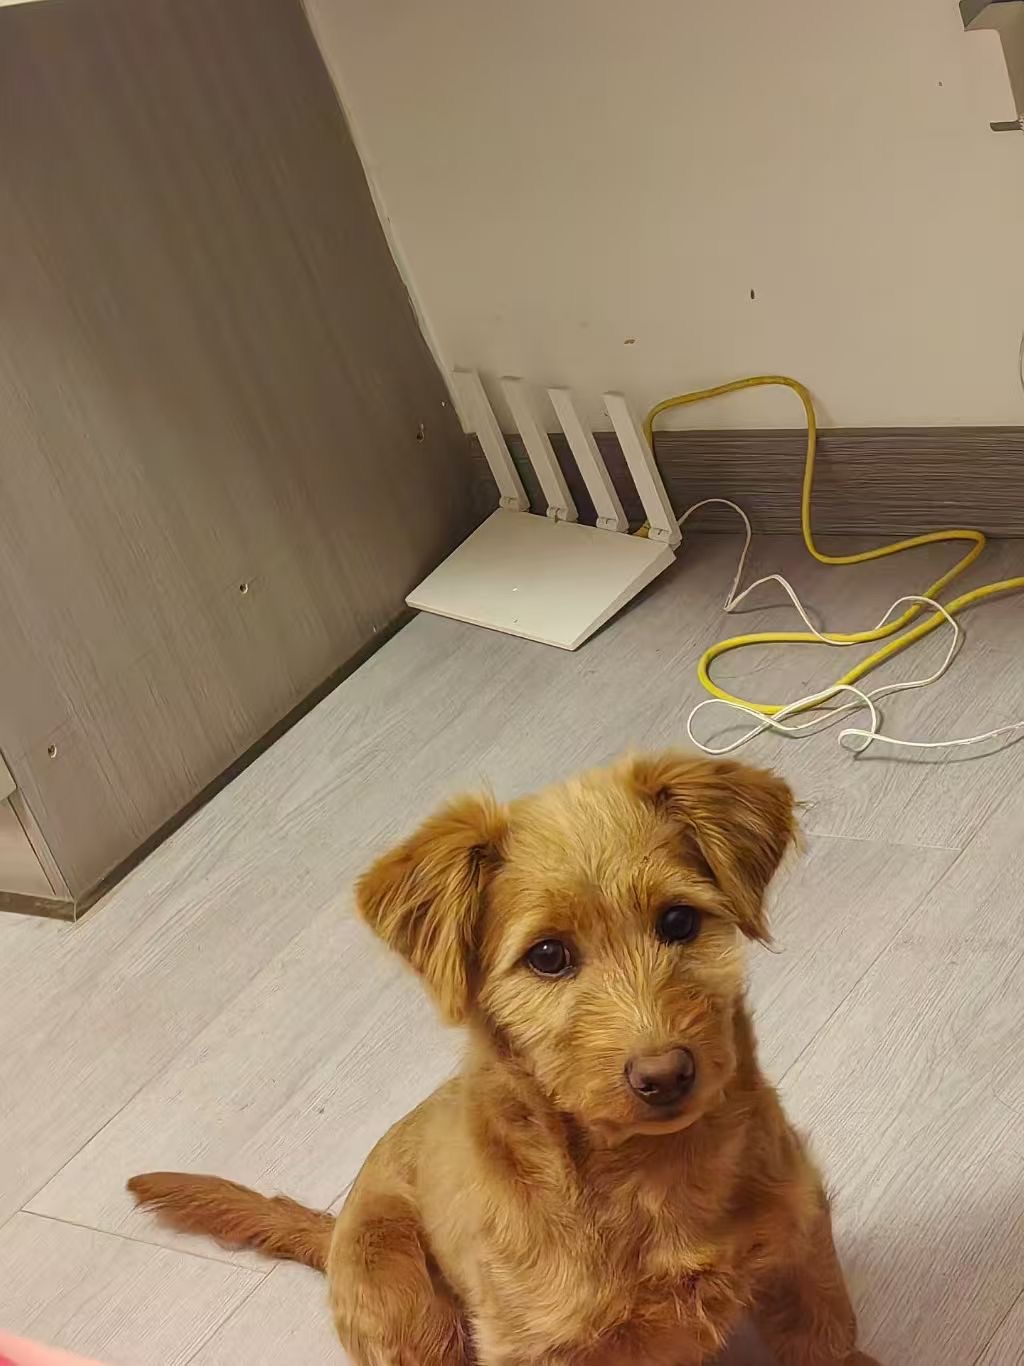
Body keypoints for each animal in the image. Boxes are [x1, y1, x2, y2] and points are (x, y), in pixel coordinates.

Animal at [129, 753, 880, 1365]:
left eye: (678, 922)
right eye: (547, 955)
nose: (665, 1074)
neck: (652, 1173)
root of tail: (335, 1227)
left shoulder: (800, 1239)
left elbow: (825, 1336)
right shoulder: (533, 1344)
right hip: (401, 1291)